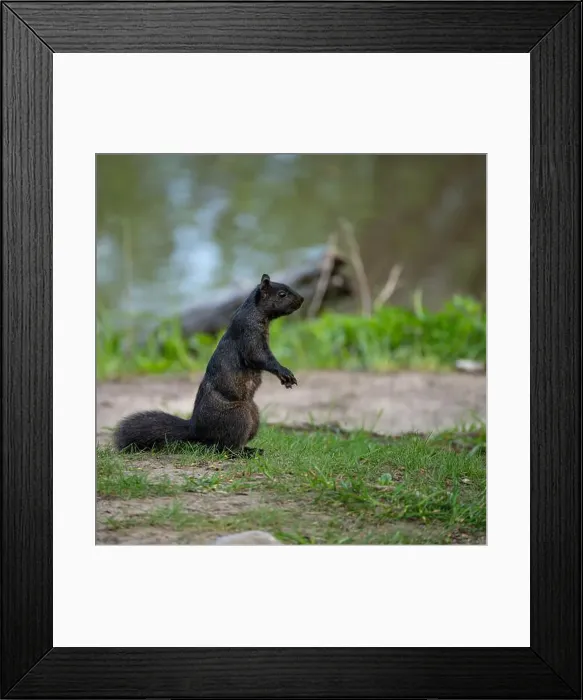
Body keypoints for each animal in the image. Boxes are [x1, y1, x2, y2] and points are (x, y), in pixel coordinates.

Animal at [113, 273, 304, 456]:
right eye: (282, 294)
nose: (302, 299)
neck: (256, 312)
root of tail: (195, 430)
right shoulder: (249, 334)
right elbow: (259, 356)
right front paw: (285, 373)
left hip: (253, 414)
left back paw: (252, 449)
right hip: (238, 416)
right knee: (224, 447)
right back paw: (244, 453)